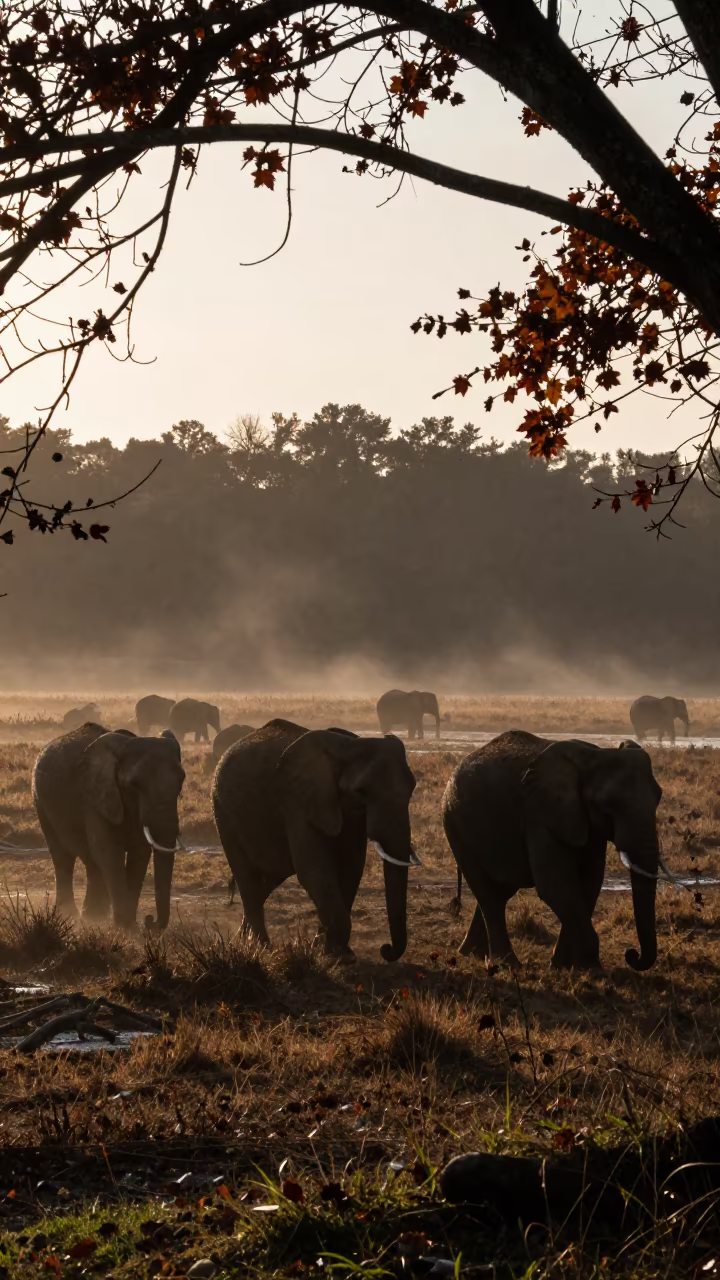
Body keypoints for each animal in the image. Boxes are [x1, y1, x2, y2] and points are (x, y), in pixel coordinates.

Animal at [32, 723, 185, 931]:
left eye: (182, 780)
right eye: (134, 784)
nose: (149, 920)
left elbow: (139, 853)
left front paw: (128, 926)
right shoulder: (95, 797)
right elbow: (110, 851)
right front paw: (127, 929)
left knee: (91, 862)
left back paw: (93, 917)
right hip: (40, 801)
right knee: (62, 857)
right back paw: (70, 916)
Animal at [213, 719, 417, 961]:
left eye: (412, 788)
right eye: (361, 791)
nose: (385, 949)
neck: (348, 747)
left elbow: (351, 867)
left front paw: (331, 951)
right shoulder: (298, 802)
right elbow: (314, 870)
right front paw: (336, 956)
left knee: (270, 877)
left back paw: (243, 941)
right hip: (222, 814)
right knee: (246, 875)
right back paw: (261, 948)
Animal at [442, 730, 663, 971]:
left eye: (659, 797)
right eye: (607, 805)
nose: (631, 954)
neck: (594, 756)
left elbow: (589, 882)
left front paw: (564, 966)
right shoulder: (540, 814)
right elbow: (556, 885)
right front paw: (592, 969)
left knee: (500, 889)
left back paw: (473, 953)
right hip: (455, 825)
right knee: (488, 893)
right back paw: (507, 963)